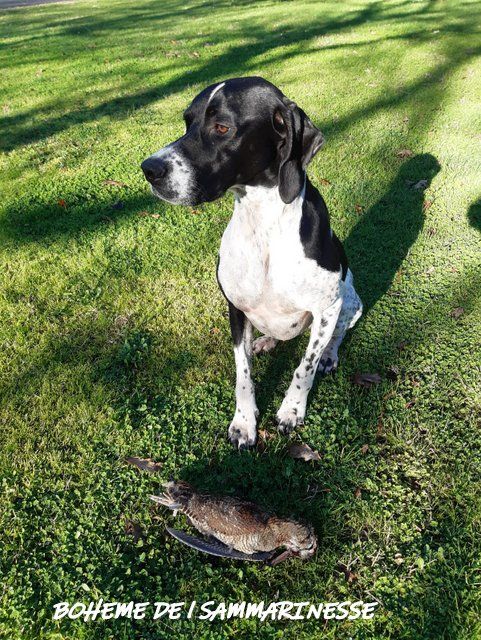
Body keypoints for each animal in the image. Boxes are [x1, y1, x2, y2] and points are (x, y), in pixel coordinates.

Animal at [141, 76, 362, 450]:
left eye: (222, 127)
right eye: (187, 122)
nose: (148, 169)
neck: (263, 224)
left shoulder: (327, 307)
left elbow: (305, 367)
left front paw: (291, 410)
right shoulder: (236, 307)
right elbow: (242, 374)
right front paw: (244, 423)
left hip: (351, 301)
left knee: (335, 336)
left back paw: (329, 356)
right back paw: (266, 342)